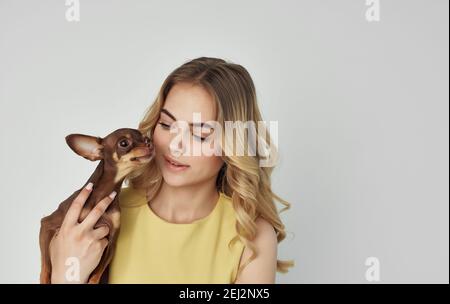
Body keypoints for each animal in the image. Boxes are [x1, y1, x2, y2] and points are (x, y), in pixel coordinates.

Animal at [39, 129, 155, 284]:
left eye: (146, 139)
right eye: (124, 143)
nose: (149, 143)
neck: (103, 193)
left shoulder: (111, 242)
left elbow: (97, 272)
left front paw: (93, 280)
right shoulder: (46, 224)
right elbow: (46, 263)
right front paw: (44, 279)